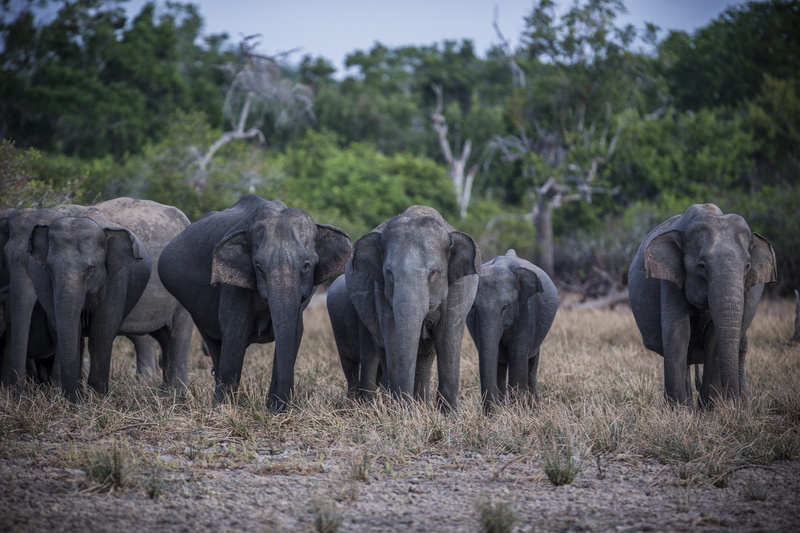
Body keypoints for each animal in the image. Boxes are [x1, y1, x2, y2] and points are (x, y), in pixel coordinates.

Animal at [157, 195, 352, 410]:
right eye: (258, 267)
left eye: (306, 266)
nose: (282, 407)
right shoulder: (233, 284)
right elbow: (236, 331)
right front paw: (223, 408)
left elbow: (295, 330)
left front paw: (275, 409)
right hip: (194, 308)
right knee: (215, 343)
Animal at [344, 205, 481, 411]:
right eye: (389, 273)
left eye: (432, 273)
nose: (404, 405)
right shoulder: (381, 293)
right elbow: (393, 338)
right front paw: (401, 411)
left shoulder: (459, 287)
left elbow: (447, 338)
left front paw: (448, 414)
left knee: (425, 357)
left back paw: (421, 404)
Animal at [466, 249, 558, 412]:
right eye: (474, 307)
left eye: (505, 306)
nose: (488, 414)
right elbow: (494, 355)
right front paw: (501, 412)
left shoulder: (527, 310)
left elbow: (518, 354)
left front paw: (518, 410)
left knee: (532, 360)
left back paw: (534, 406)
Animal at [627, 203, 777, 407]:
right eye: (701, 266)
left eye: (747, 266)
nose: (732, 403)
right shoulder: (671, 279)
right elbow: (678, 331)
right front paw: (680, 410)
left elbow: (715, 336)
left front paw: (709, 409)